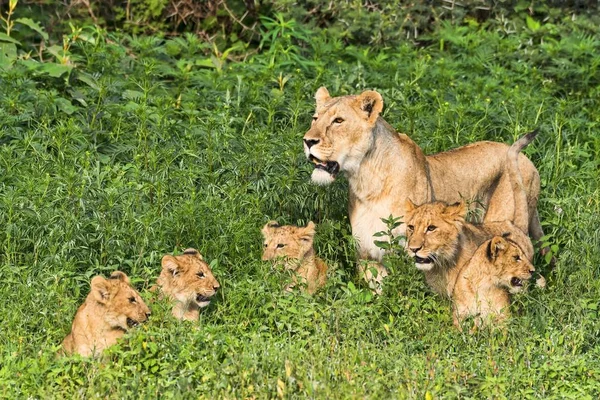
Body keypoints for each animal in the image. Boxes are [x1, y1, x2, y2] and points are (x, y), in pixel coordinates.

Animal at [302, 86, 540, 290]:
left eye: (338, 121)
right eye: (315, 119)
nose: (307, 141)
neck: (366, 180)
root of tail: (528, 161)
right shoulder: (366, 255)